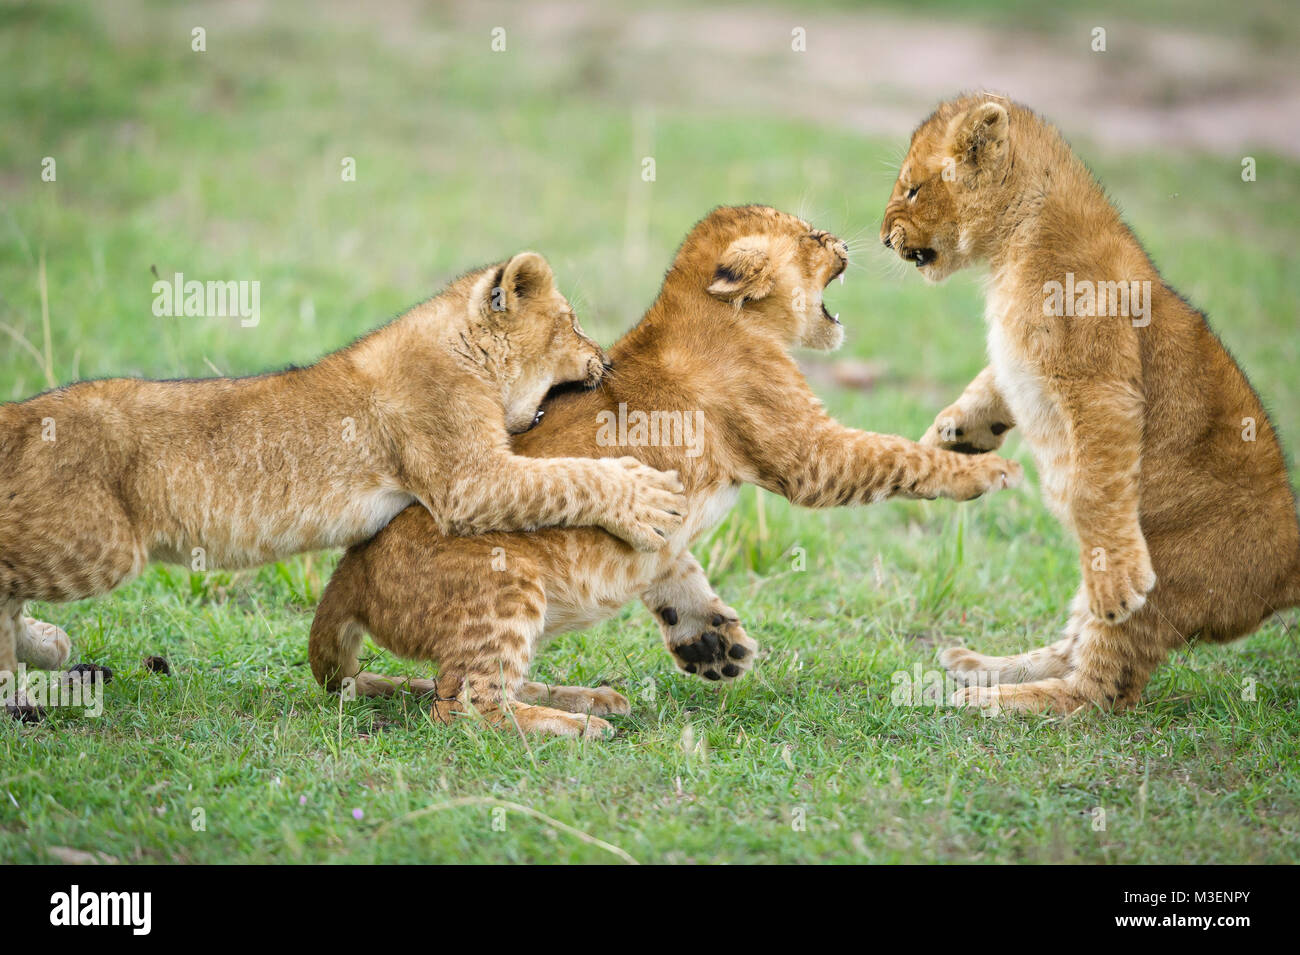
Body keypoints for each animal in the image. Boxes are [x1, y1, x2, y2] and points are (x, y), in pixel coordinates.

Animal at [0, 251, 686, 719]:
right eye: (570, 323)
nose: (606, 359)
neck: (460, 349)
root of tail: (20, 415)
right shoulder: (469, 482)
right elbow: (569, 473)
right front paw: (648, 499)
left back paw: (44, 654)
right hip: (96, 544)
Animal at [307, 205, 1023, 738]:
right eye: (813, 238)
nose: (850, 239)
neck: (719, 315)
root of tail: (349, 573)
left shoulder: (670, 521)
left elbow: (676, 568)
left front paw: (711, 645)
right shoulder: (808, 454)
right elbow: (894, 455)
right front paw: (984, 471)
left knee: (453, 683)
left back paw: (587, 697)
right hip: (503, 589)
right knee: (462, 705)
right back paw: (570, 725)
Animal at [881, 93, 1300, 714]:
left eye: (912, 190)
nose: (883, 236)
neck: (1015, 244)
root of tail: (1288, 563)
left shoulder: (1100, 382)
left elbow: (1094, 486)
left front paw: (1116, 578)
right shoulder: (1018, 361)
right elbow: (990, 384)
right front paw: (950, 436)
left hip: (1167, 576)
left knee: (1095, 692)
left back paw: (975, 698)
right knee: (1069, 648)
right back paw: (974, 666)